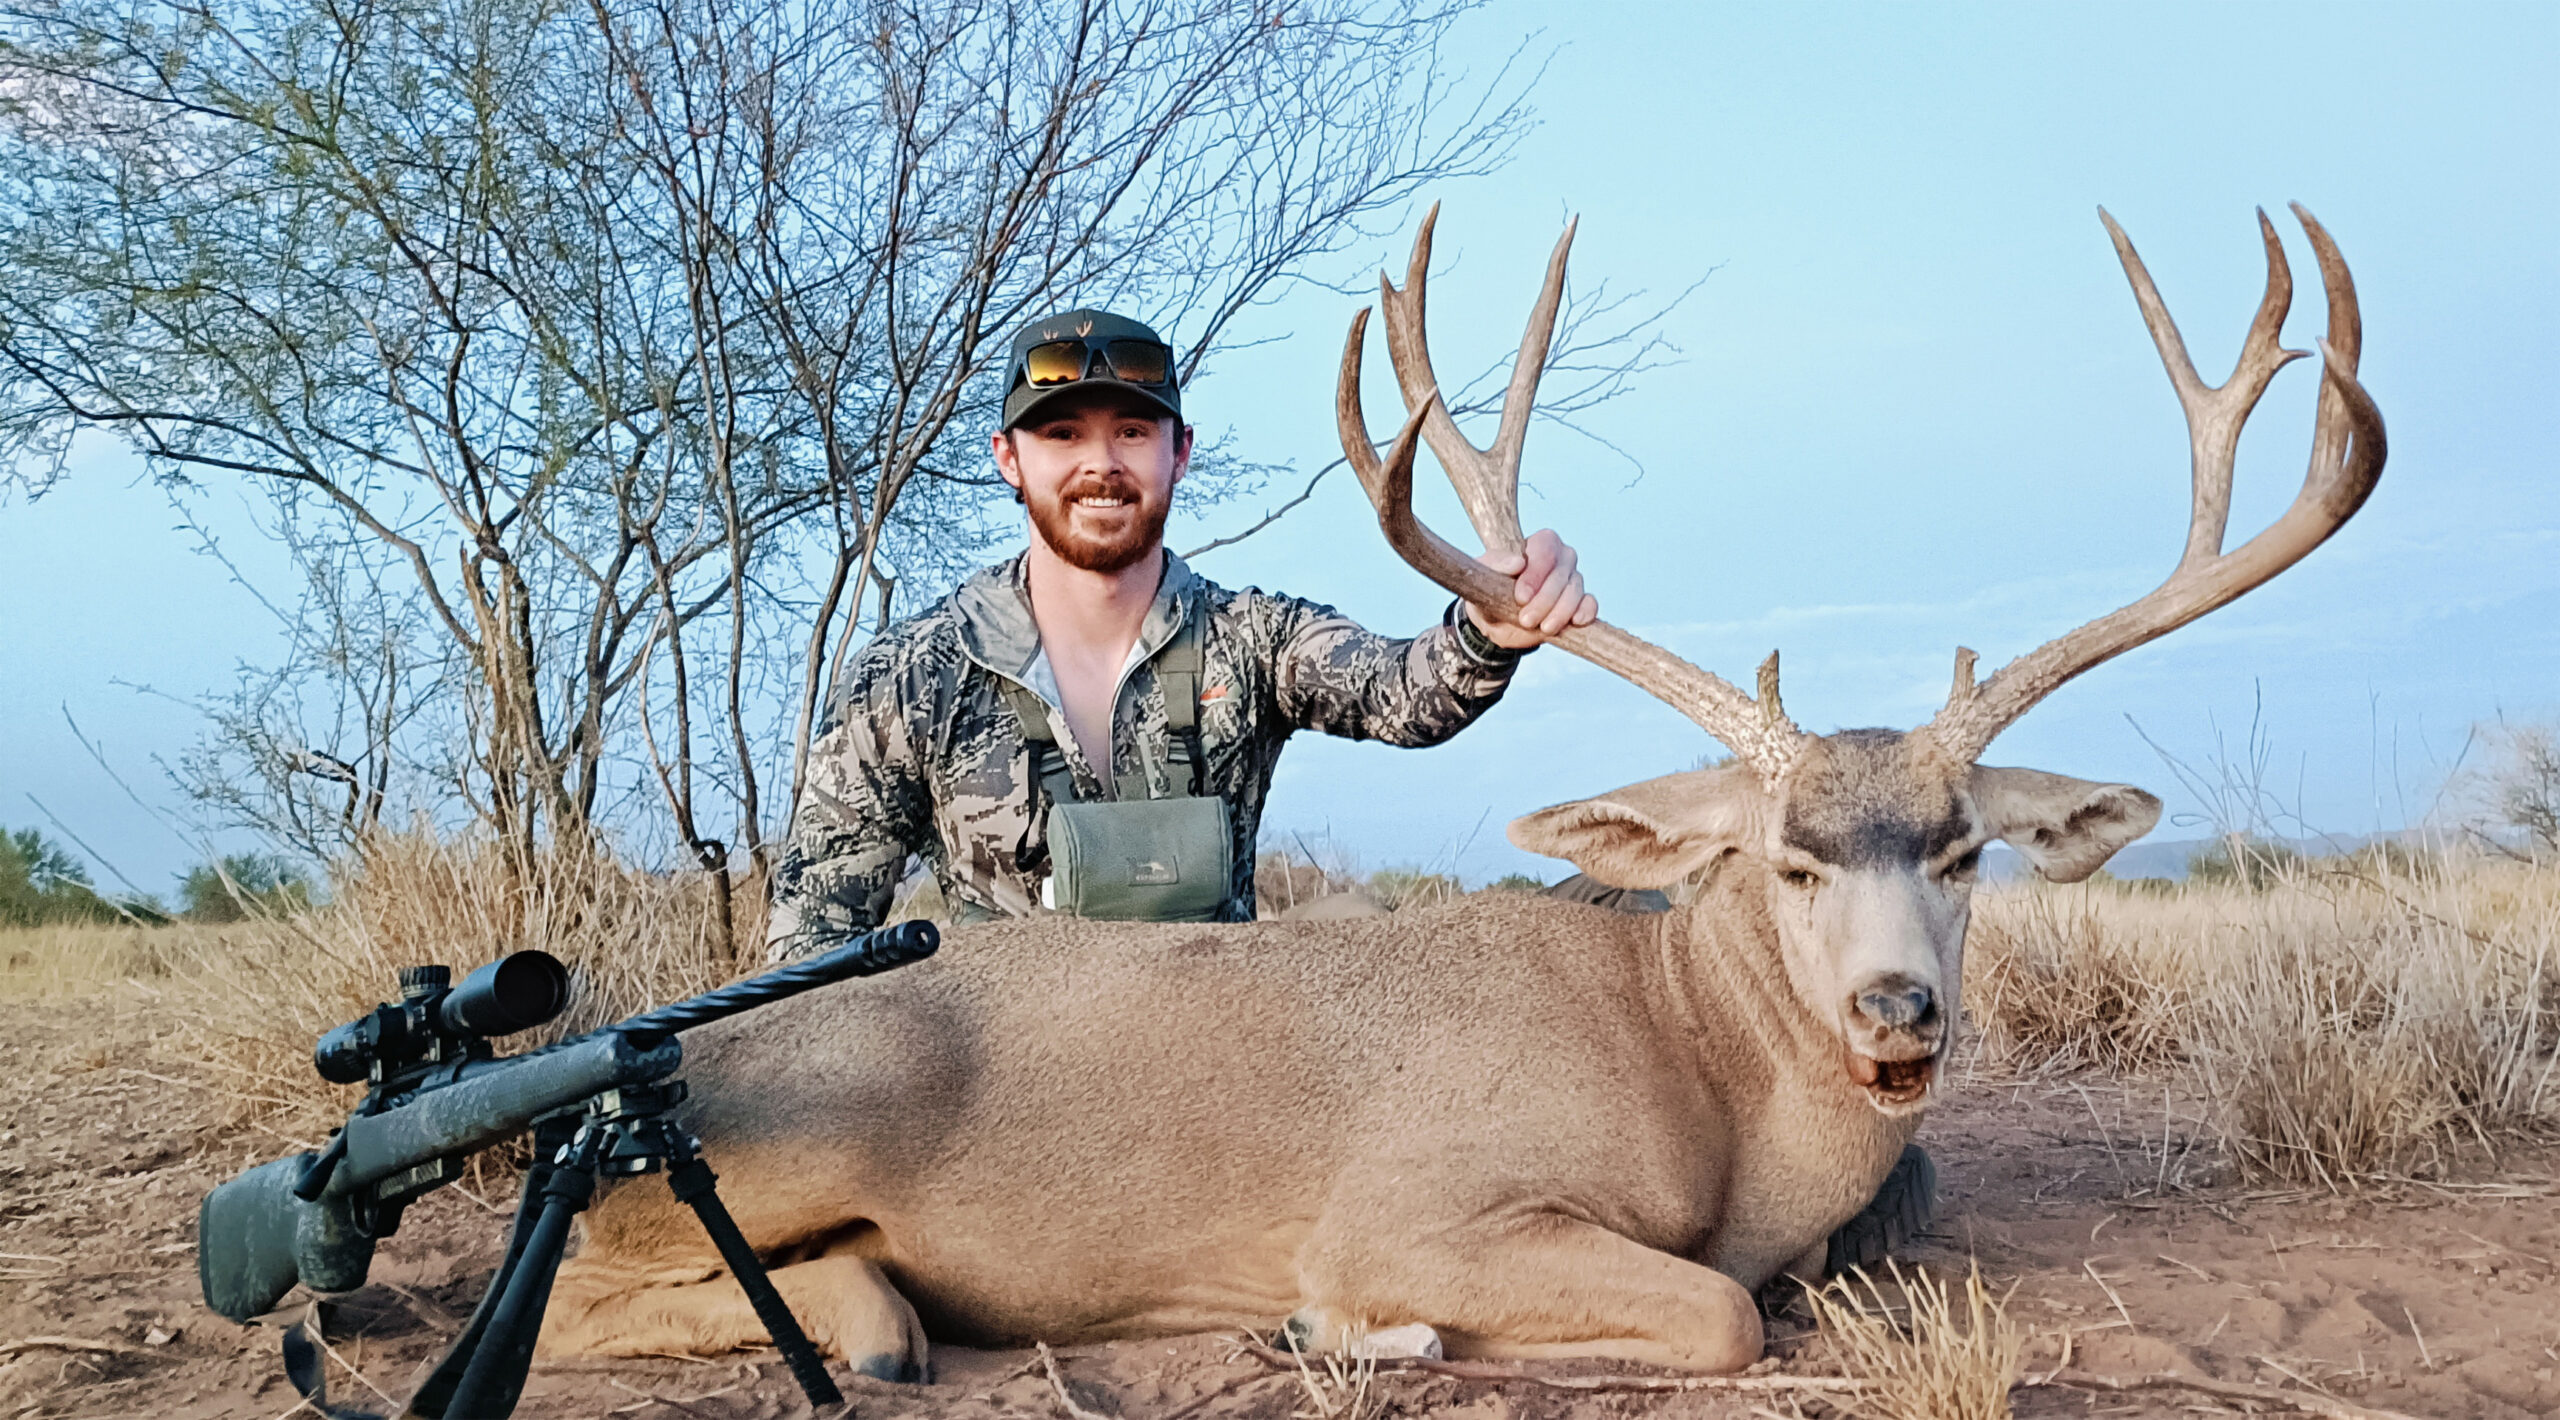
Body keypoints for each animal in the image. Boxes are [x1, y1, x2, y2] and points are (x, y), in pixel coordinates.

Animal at [536, 203, 2383, 1380]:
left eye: (1964, 853)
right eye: (1785, 861)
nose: (1898, 1012)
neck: (1693, 1068)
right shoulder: (1413, 1206)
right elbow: (1720, 1315)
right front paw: (1354, 1329)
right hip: (799, 1129)